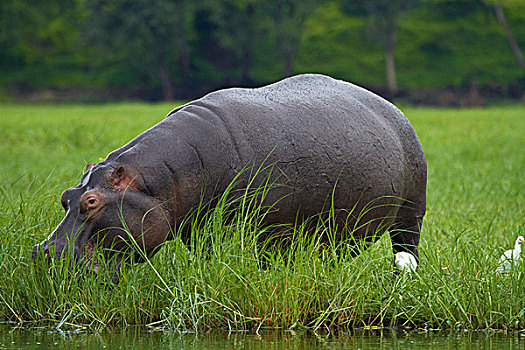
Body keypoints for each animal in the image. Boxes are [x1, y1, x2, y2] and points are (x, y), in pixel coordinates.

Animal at [31, 74, 426, 278]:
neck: (157, 181)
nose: (45, 253)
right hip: (338, 228)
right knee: (335, 252)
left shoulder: (266, 228)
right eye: (65, 197)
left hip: (411, 211)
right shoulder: (199, 230)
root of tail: (392, 108)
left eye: (91, 201)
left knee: (406, 245)